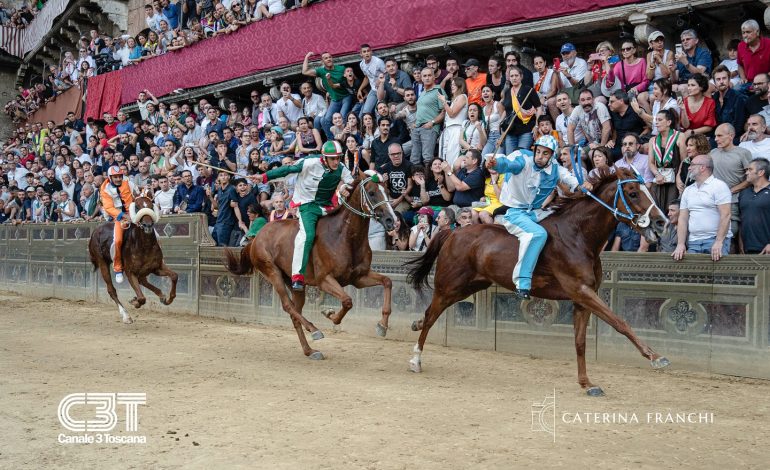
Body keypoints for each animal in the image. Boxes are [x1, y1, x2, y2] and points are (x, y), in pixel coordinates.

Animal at [88, 195, 178, 324]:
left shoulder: (157, 267)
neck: (144, 246)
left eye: (151, 206)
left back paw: (161, 296)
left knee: (143, 281)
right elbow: (141, 298)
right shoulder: (130, 272)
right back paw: (126, 316)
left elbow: (174, 276)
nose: (147, 226)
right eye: (137, 207)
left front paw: (168, 298)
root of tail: (95, 232)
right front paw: (135, 302)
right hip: (102, 263)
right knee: (112, 290)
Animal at [224, 173, 396, 360]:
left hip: (295, 283)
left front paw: (382, 326)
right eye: (371, 193)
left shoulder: (358, 277)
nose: (391, 220)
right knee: (288, 306)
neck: (344, 236)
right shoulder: (324, 279)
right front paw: (330, 314)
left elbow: (387, 282)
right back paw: (314, 329)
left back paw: (310, 350)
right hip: (272, 272)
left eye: (387, 191)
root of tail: (256, 237)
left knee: (295, 312)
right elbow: (347, 301)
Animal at [404, 167, 668, 394]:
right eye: (633, 193)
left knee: (431, 312)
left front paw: (587, 383)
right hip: (449, 285)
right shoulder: (582, 291)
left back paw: (415, 325)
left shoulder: (582, 300)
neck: (578, 236)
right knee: (431, 314)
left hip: (470, 285)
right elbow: (620, 322)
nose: (661, 222)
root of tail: (453, 232)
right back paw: (415, 358)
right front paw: (656, 357)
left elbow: (580, 342)